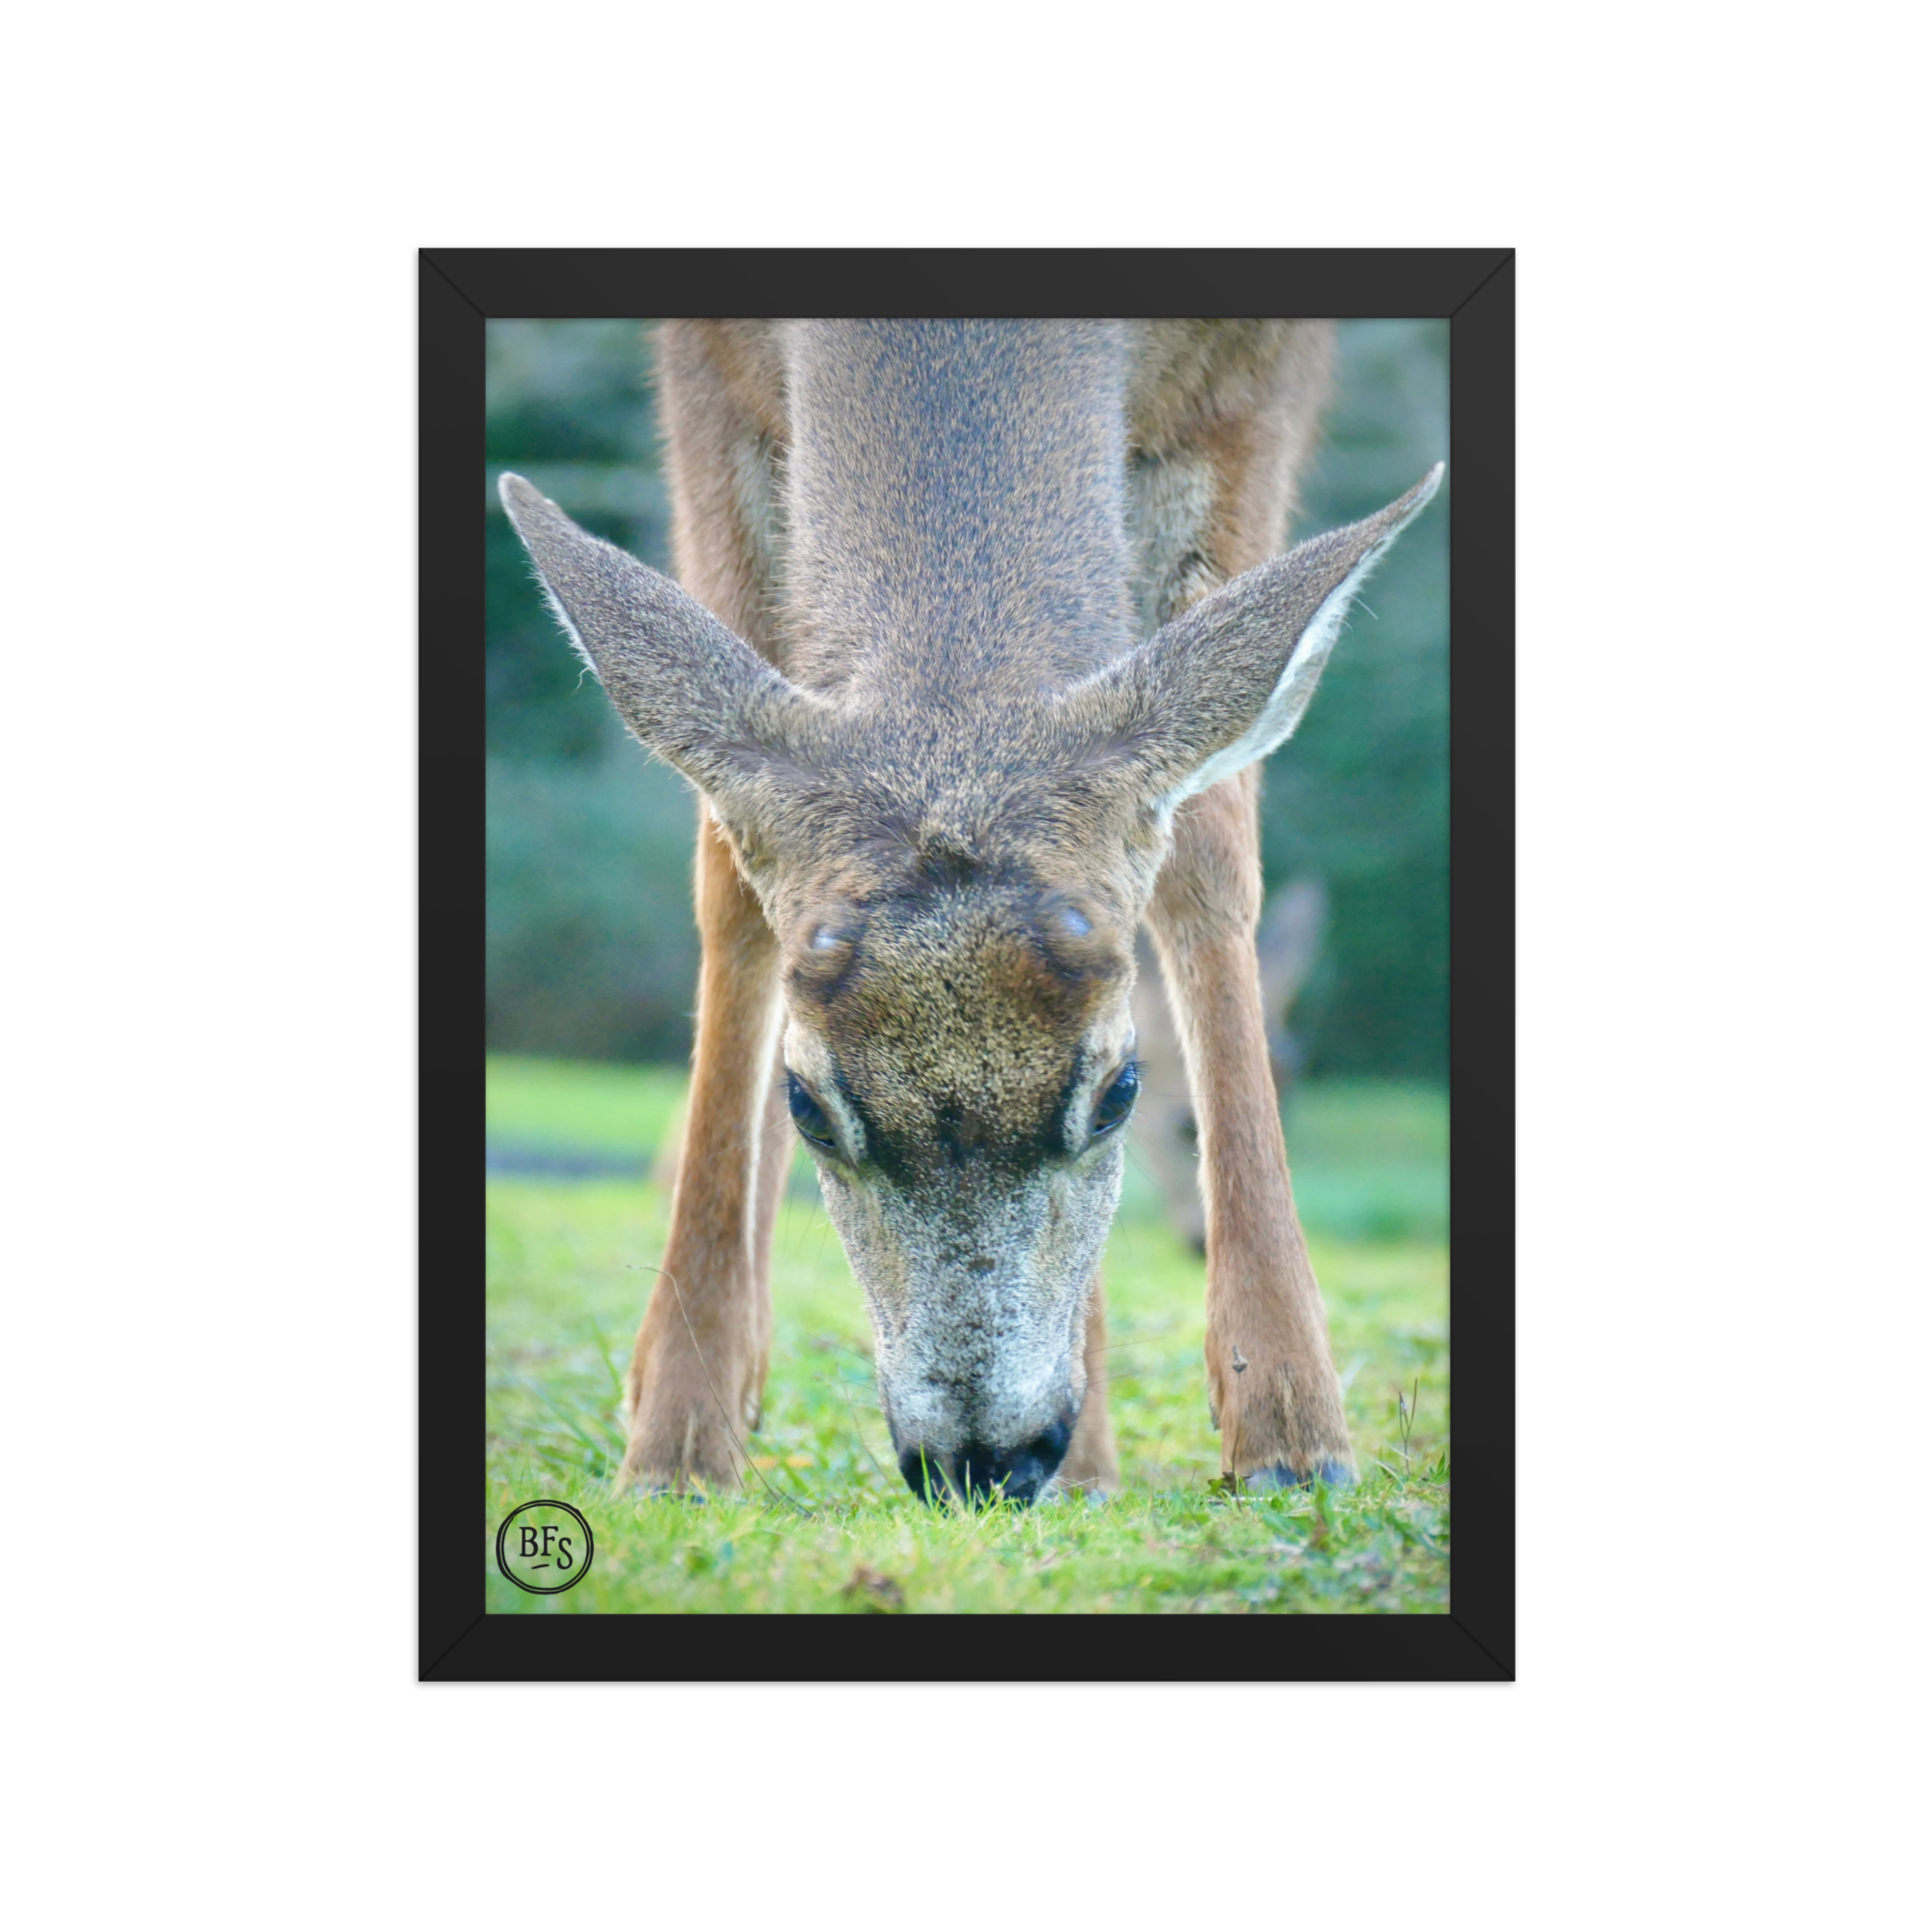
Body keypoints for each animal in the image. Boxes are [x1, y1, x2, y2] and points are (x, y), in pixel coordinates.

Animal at [498, 319, 1441, 1509]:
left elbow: (1210, 845)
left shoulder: (1254, 386)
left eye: (1119, 1090)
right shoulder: (703, 374)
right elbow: (725, 869)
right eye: (808, 1106)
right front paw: (676, 1439)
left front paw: (1289, 1431)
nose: (984, 1460)